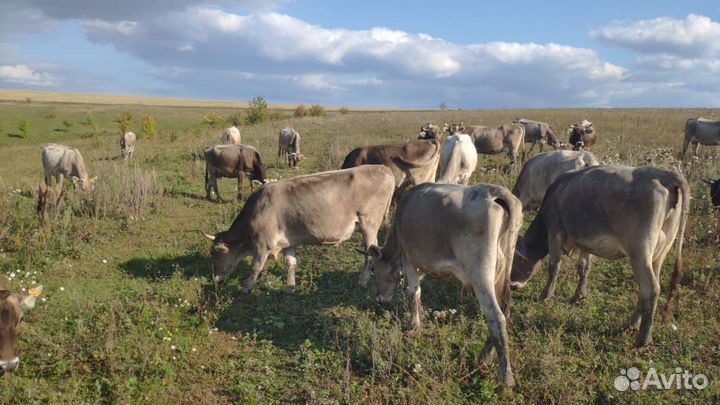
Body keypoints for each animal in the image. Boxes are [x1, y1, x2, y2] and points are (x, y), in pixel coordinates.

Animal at [201, 165, 396, 293]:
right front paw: (290, 287)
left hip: (369, 224)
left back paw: (362, 281)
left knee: (369, 253)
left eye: (213, 253)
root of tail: (383, 168)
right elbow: (290, 263)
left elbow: (255, 266)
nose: (215, 278)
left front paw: (246, 287)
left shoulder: (263, 243)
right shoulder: (289, 242)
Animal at [367, 182, 523, 386]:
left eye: (374, 270)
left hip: (482, 276)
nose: (380, 299)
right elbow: (418, 294)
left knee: (497, 318)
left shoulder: (409, 261)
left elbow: (413, 293)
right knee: (505, 311)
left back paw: (505, 378)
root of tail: (495, 191)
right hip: (502, 273)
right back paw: (484, 357)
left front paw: (414, 324)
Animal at [510, 165, 689, 348]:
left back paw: (643, 339)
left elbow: (554, 266)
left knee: (651, 289)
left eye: (517, 258)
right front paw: (579, 296)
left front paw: (546, 295)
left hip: (640, 251)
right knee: (647, 289)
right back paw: (631, 324)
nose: (512, 285)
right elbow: (584, 267)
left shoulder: (555, 231)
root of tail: (664, 174)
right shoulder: (586, 242)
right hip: (659, 254)